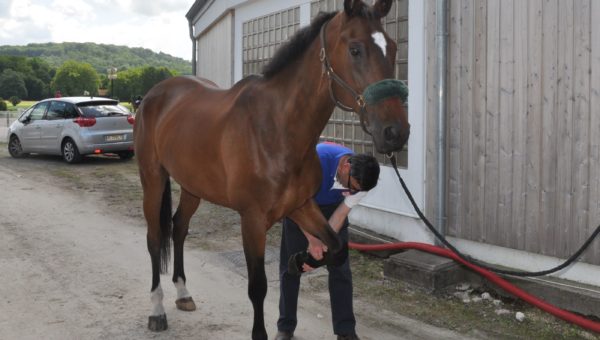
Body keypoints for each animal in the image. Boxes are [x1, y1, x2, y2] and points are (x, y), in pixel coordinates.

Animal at [134, 1, 410, 338]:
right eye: (355, 49)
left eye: (393, 47)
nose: (395, 132)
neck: (276, 128)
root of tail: (153, 95)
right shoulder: (252, 220)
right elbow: (258, 286)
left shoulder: (301, 206)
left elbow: (336, 247)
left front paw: (300, 260)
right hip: (153, 179)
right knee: (154, 238)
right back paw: (157, 310)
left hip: (192, 186)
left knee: (179, 228)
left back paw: (184, 293)